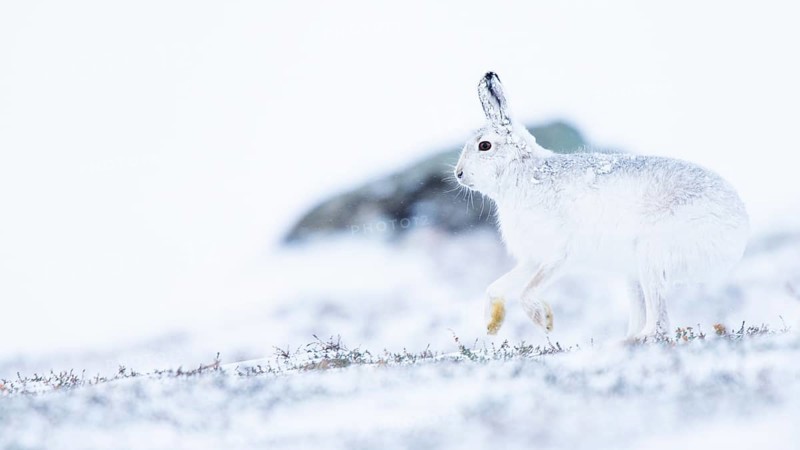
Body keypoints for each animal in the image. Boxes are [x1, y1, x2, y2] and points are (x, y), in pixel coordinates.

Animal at [454, 72, 749, 341]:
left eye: (484, 146)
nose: (458, 174)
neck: (526, 172)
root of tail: (739, 228)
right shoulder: (533, 258)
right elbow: (495, 286)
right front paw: (492, 325)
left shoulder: (560, 255)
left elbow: (527, 290)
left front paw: (545, 321)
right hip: (634, 274)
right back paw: (626, 339)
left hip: (651, 256)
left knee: (660, 323)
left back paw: (636, 340)